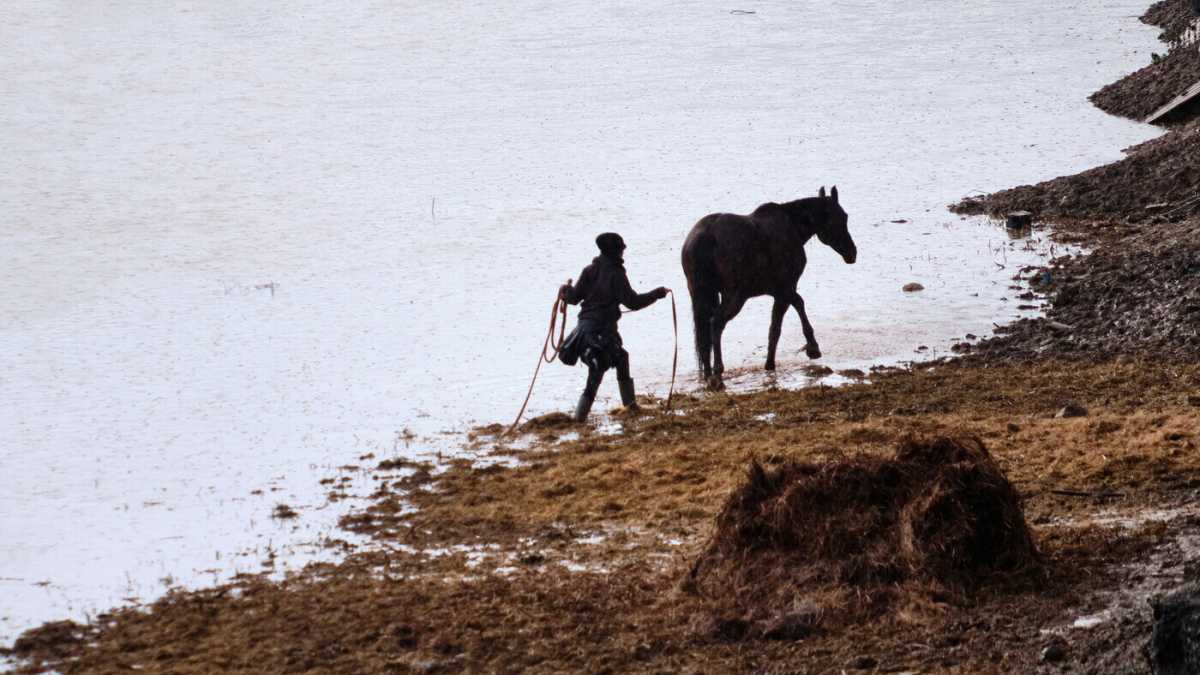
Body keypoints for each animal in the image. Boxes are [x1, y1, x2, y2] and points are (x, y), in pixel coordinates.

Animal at [680, 186, 857, 389]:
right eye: (842, 217)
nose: (852, 252)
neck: (795, 228)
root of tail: (705, 237)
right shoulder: (785, 287)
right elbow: (779, 325)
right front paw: (808, 349)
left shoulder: (778, 289)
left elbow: (790, 312)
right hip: (734, 296)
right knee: (716, 323)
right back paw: (718, 373)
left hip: (701, 292)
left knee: (704, 336)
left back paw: (708, 375)